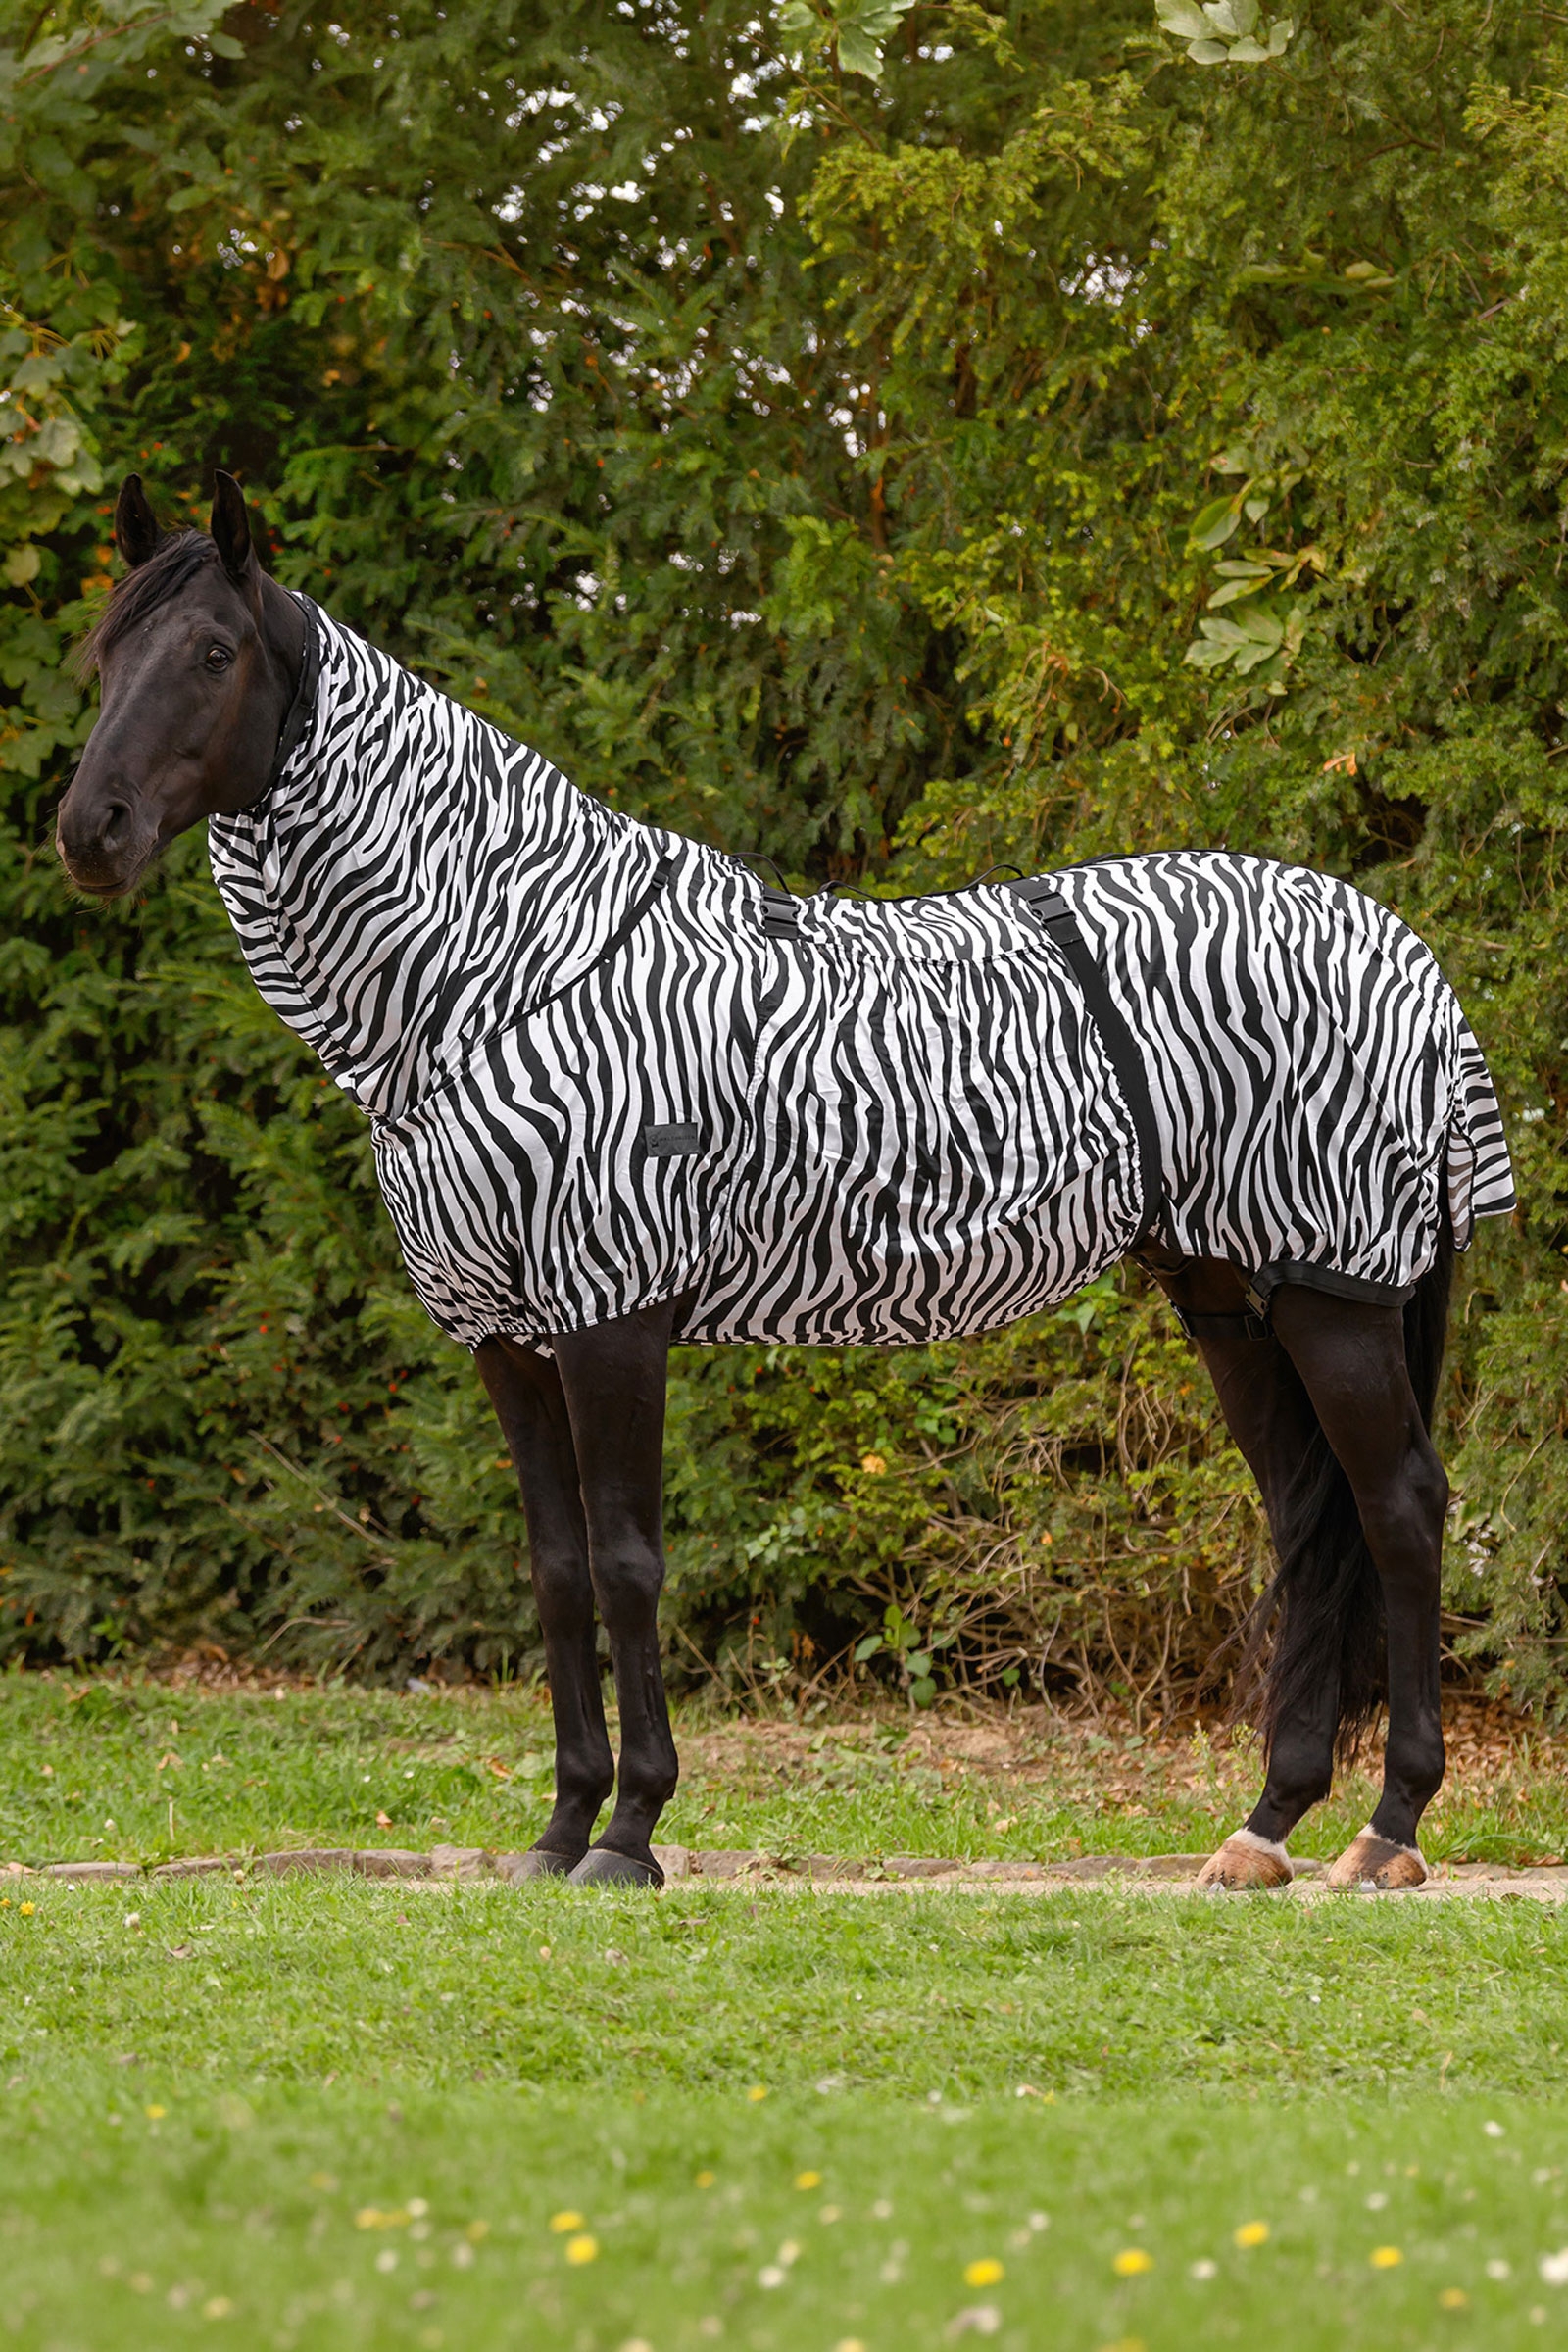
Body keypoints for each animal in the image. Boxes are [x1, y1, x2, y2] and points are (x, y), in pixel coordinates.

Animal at [56, 473, 1516, 1894]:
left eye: (212, 652)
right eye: (105, 651)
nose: (89, 833)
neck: (503, 970)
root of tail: (1404, 954)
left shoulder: (613, 1313)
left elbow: (630, 1564)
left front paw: (630, 1834)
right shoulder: (505, 1338)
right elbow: (557, 1572)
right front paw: (559, 1830)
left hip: (1332, 1291)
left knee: (1397, 1508)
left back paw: (1387, 1831)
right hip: (1228, 1294)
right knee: (1308, 1522)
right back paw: (1265, 1829)